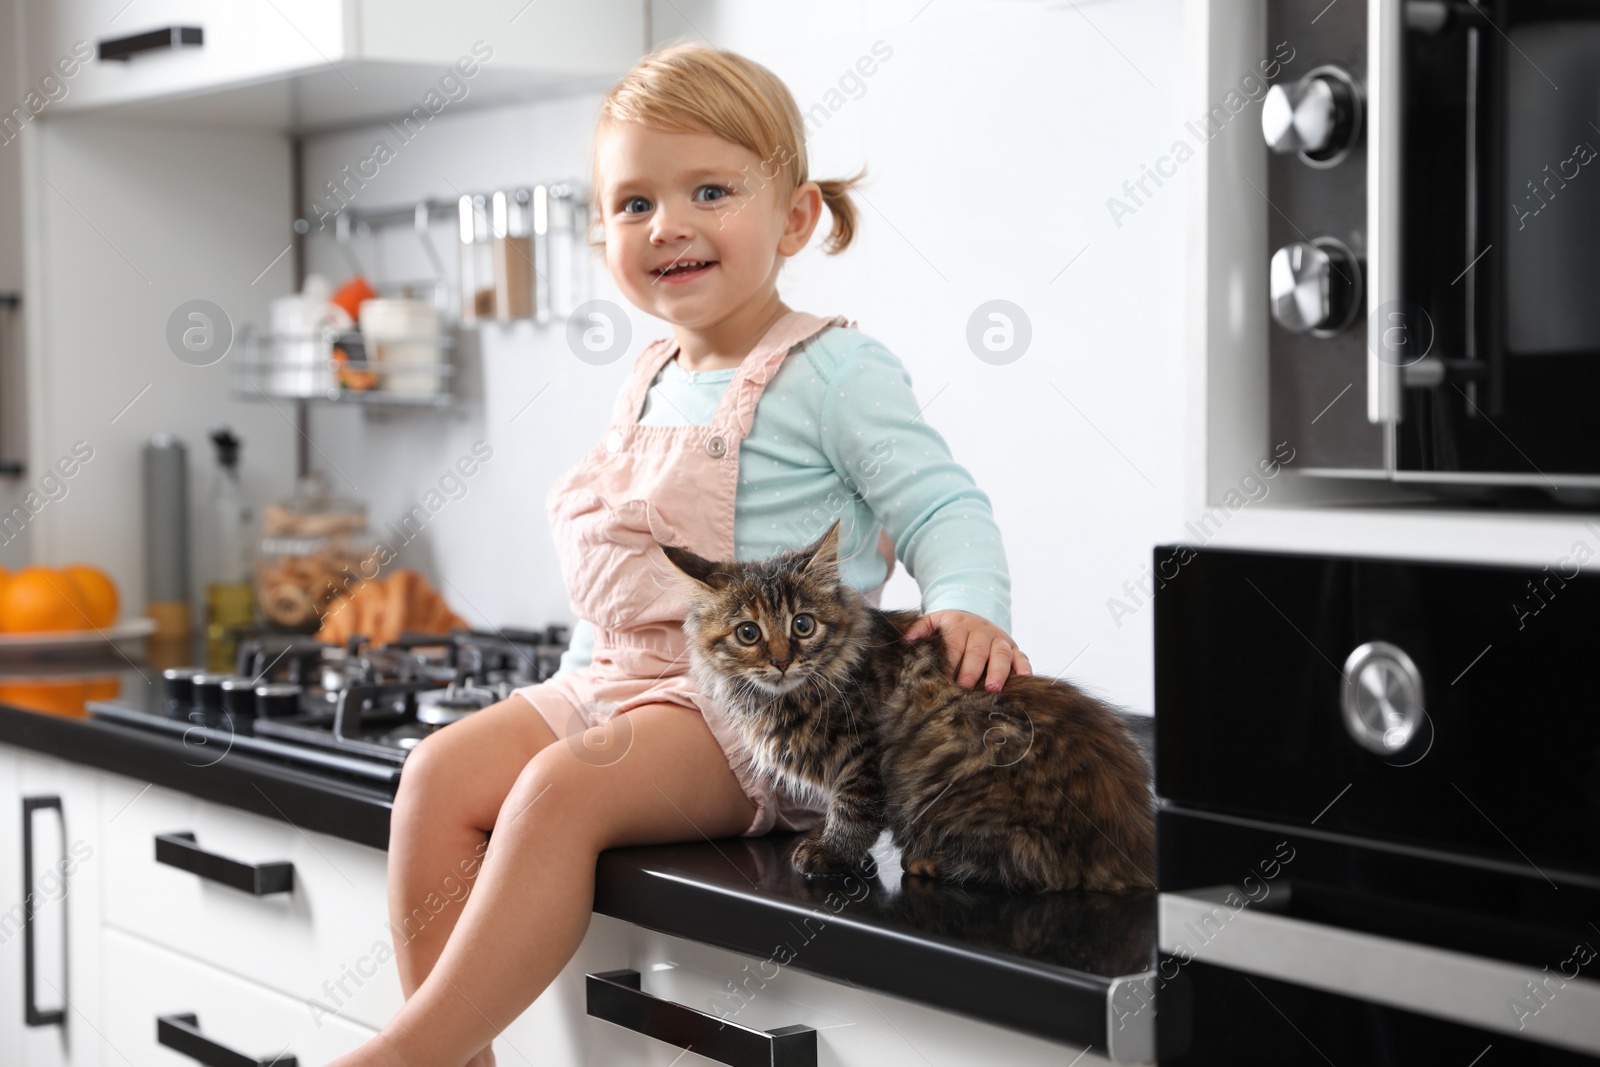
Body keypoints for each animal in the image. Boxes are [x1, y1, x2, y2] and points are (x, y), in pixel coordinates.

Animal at [656, 518, 1158, 895]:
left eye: (803, 625)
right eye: (748, 633)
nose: (781, 661)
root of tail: (1133, 846)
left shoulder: (864, 753)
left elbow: (854, 808)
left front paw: (830, 852)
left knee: (1035, 870)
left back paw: (927, 860)